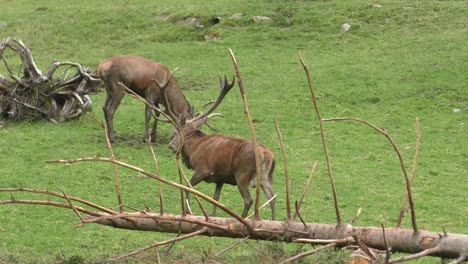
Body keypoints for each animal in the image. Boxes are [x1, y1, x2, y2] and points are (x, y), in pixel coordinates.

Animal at [168, 76, 276, 221]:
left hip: (242, 175)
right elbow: (216, 198)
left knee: (249, 199)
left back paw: (242, 219)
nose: (171, 146)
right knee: (272, 198)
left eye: (174, 132)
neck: (193, 148)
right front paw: (213, 216)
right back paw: (275, 221)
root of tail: (265, 153)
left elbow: (187, 186)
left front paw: (187, 211)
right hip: (266, 176)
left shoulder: (203, 169)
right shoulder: (220, 178)